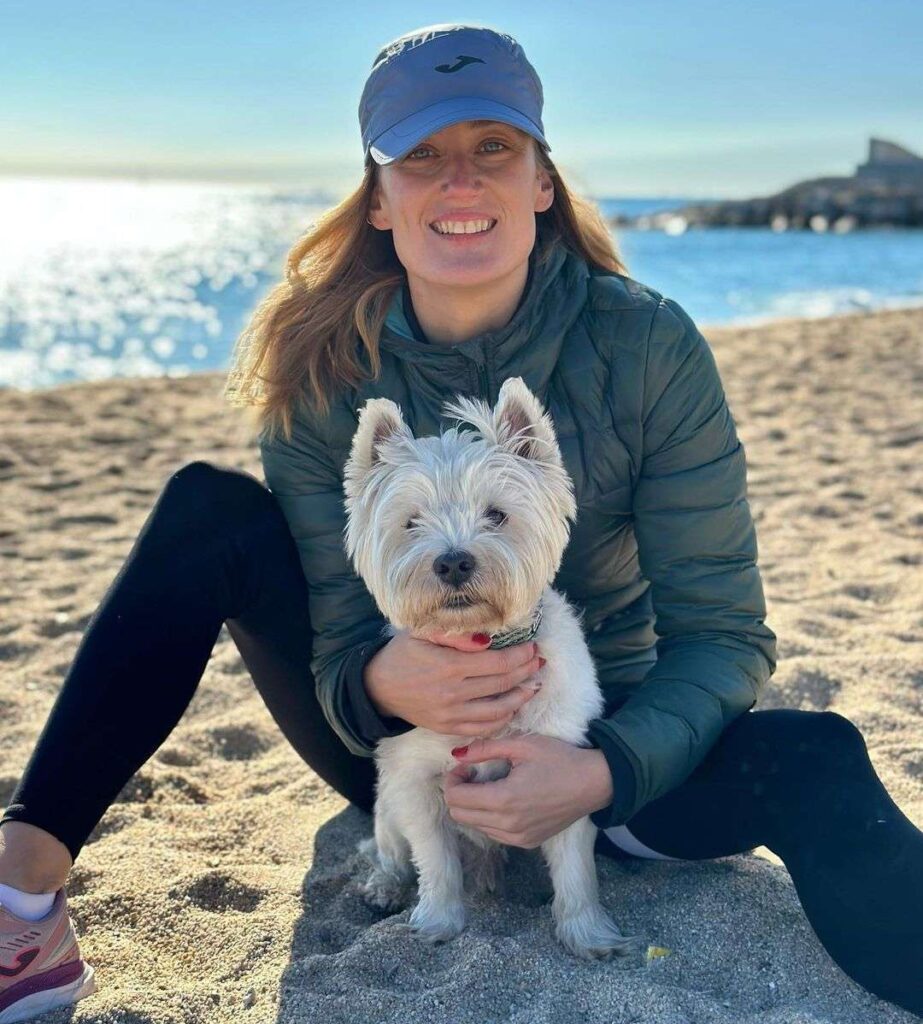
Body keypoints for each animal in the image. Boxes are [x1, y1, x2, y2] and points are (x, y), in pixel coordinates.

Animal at [342, 376, 639, 958]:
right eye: (411, 522)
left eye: (497, 514)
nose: (453, 562)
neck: (481, 645)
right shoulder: (416, 782)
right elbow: (435, 860)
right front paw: (437, 922)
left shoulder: (560, 772)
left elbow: (575, 869)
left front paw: (589, 935)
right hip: (387, 799)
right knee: (389, 845)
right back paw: (386, 885)